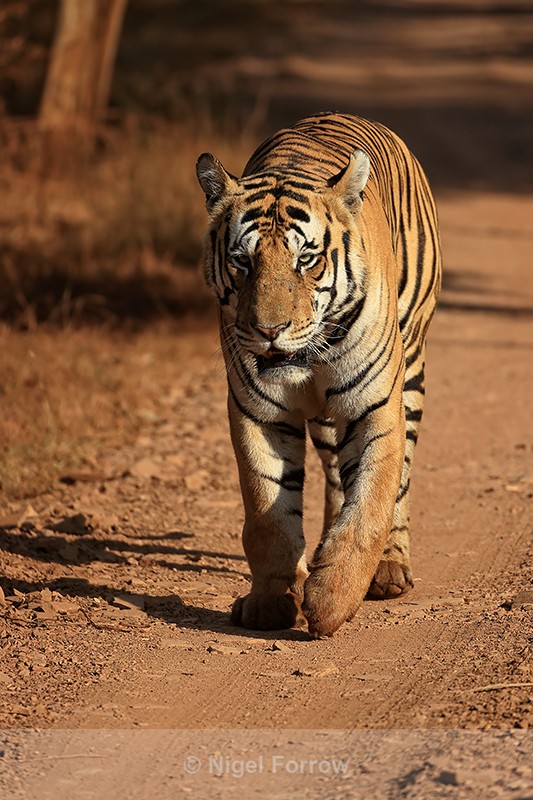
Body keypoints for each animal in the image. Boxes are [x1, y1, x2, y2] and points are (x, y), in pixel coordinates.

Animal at [196, 112, 441, 638]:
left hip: (410, 367)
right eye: (242, 261)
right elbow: (268, 514)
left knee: (401, 477)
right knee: (333, 475)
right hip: (329, 420)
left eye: (305, 259)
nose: (269, 330)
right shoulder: (258, 413)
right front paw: (270, 603)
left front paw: (332, 600)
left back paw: (389, 569)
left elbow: (370, 504)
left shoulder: (375, 407)